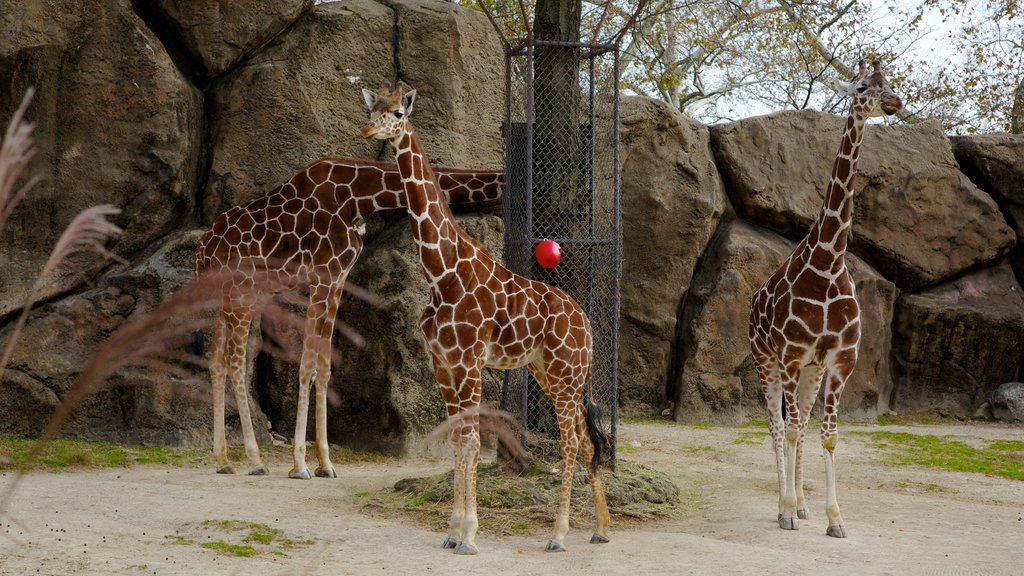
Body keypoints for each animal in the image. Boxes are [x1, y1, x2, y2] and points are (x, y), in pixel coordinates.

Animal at [193, 154, 501, 477]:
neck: (360, 196)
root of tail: (202, 252)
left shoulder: (338, 279)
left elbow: (325, 366)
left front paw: (325, 463)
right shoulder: (322, 276)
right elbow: (306, 364)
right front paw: (299, 464)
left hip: (222, 298)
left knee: (215, 361)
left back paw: (223, 460)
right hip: (242, 292)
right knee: (236, 362)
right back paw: (254, 460)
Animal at [360, 84, 606, 553]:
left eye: (398, 112)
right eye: (371, 108)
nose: (367, 131)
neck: (441, 272)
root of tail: (585, 322)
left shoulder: (469, 361)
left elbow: (473, 441)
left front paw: (470, 536)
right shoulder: (442, 362)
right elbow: (459, 438)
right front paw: (452, 533)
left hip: (567, 374)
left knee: (570, 441)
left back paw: (559, 535)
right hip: (548, 371)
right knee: (585, 440)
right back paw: (601, 529)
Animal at [745, 58, 905, 532]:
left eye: (891, 83)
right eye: (861, 87)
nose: (894, 103)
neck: (828, 266)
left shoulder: (838, 361)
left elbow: (828, 437)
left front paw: (833, 518)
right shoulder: (791, 356)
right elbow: (790, 429)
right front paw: (787, 511)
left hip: (810, 373)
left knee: (797, 425)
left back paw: (801, 504)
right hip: (766, 361)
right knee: (776, 428)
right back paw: (783, 507)